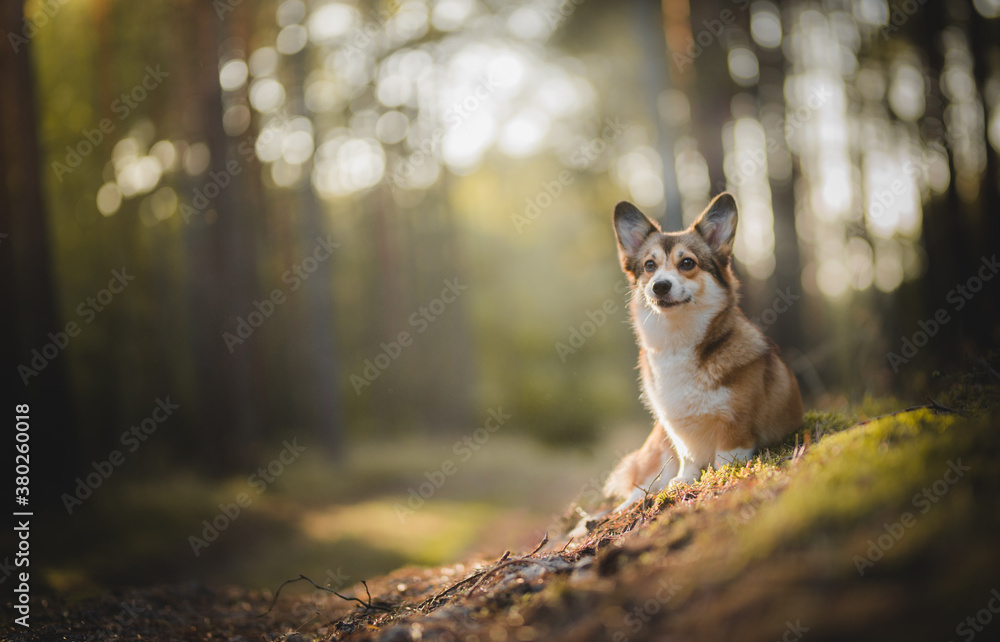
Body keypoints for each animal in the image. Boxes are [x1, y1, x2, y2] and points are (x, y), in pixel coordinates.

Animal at [600, 192, 804, 512]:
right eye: (649, 265)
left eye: (687, 263)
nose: (660, 286)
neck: (678, 343)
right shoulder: (679, 436)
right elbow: (689, 460)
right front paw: (684, 481)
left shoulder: (735, 427)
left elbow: (725, 459)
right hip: (657, 452)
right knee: (636, 490)